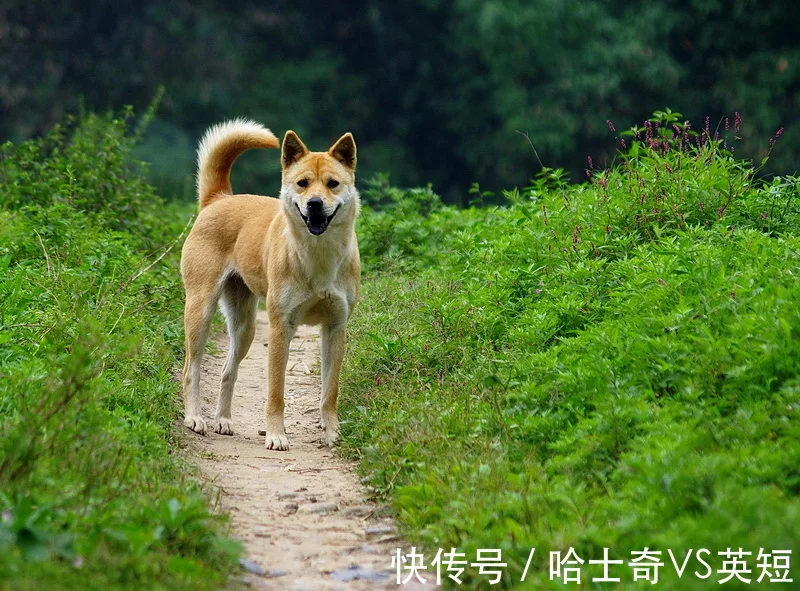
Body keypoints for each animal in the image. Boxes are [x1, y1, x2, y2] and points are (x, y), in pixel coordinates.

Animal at [181, 121, 360, 454]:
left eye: (333, 184)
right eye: (302, 183)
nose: (315, 204)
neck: (317, 257)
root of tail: (220, 198)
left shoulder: (335, 328)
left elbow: (330, 391)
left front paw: (331, 433)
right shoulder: (280, 328)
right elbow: (276, 391)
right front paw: (276, 435)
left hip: (245, 327)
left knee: (228, 371)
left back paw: (223, 420)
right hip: (200, 310)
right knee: (191, 370)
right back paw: (194, 417)